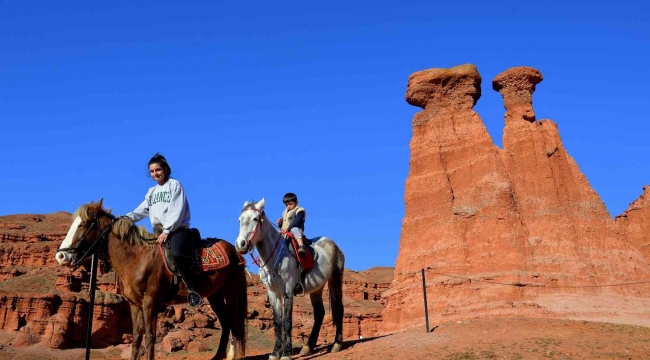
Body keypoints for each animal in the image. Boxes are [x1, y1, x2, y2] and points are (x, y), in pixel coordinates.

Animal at [52, 200, 246, 360]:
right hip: (215, 295)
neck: (136, 257)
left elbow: (150, 337)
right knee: (226, 322)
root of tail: (234, 251)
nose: (61, 256)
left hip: (231, 290)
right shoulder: (135, 304)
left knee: (235, 324)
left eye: (84, 224)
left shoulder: (150, 302)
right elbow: (137, 338)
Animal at [234, 198, 344, 360]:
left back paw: (337, 344)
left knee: (339, 309)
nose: (240, 244)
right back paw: (308, 346)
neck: (276, 257)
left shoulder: (288, 291)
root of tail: (333, 244)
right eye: (240, 220)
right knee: (319, 313)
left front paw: (286, 353)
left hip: (336, 280)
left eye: (255, 219)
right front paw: (275, 353)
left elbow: (287, 322)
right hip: (317, 289)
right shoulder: (273, 293)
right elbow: (277, 322)